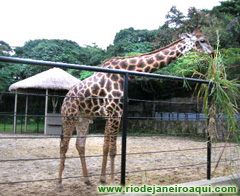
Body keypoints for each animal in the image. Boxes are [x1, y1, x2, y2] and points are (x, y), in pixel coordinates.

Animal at [57, 29, 213, 188]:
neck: (125, 72)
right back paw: (59, 182)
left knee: (80, 145)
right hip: (69, 117)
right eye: (202, 40)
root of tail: (65, 99)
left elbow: (105, 147)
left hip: (83, 119)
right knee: (64, 145)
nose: (212, 52)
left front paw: (103, 179)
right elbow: (113, 150)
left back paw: (87, 180)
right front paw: (113, 181)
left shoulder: (110, 114)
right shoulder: (115, 112)